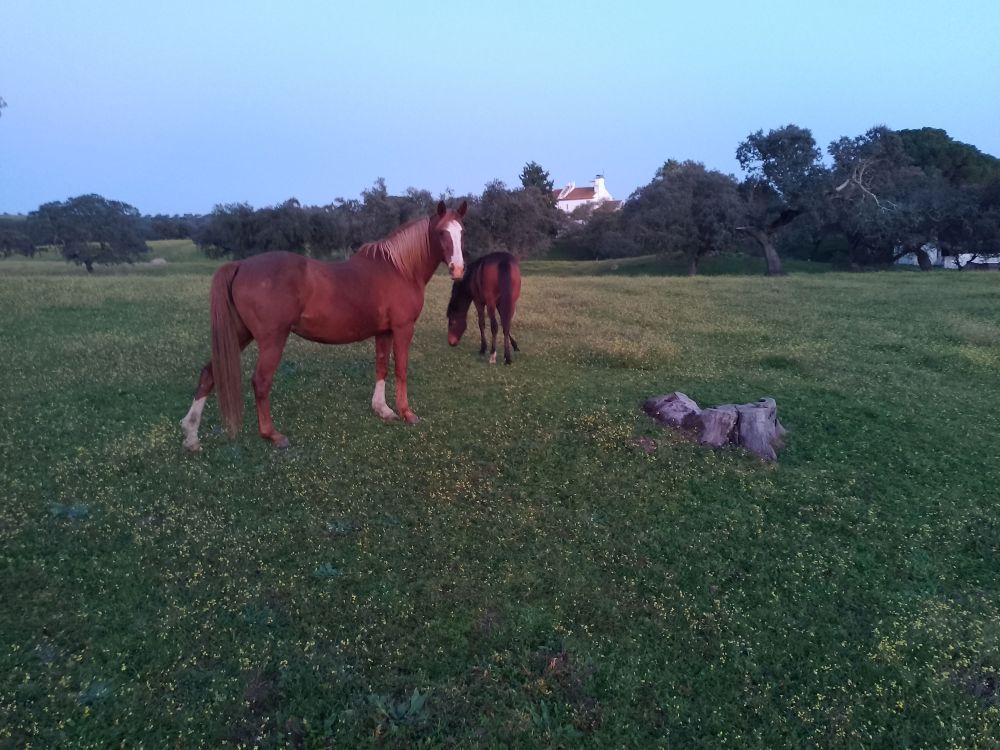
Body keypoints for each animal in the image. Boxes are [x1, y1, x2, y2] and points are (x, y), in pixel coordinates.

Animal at [180, 200, 468, 450]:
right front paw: (407, 413)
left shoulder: (383, 332)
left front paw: (383, 410)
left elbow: (382, 367)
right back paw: (272, 435)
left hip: (240, 334)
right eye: (441, 232)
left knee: (209, 374)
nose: (458, 269)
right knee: (260, 382)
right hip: (272, 340)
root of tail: (241, 265)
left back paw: (191, 436)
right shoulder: (403, 328)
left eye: (462, 232)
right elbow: (401, 369)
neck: (400, 269)